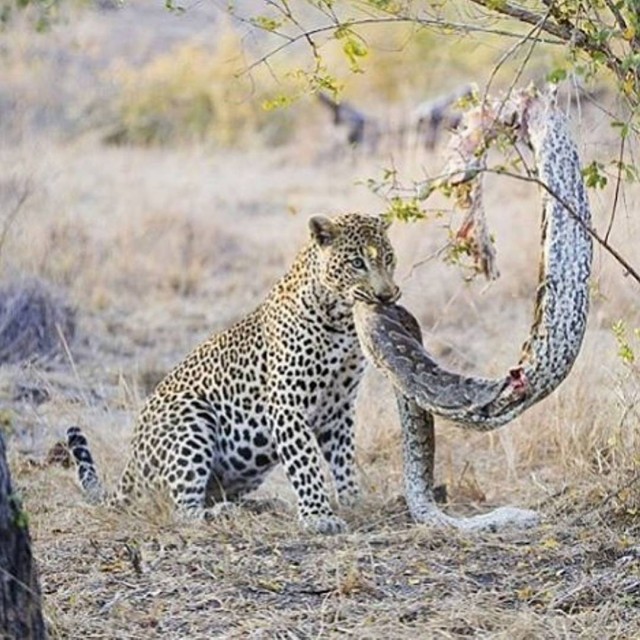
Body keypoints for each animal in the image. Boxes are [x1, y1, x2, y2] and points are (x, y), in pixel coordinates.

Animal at [69, 212, 400, 532]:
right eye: (357, 263)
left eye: (389, 258)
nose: (386, 295)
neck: (341, 320)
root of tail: (131, 466)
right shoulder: (287, 404)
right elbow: (305, 463)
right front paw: (318, 517)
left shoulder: (340, 406)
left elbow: (344, 459)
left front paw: (353, 501)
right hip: (191, 415)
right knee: (182, 510)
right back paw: (222, 513)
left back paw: (261, 505)